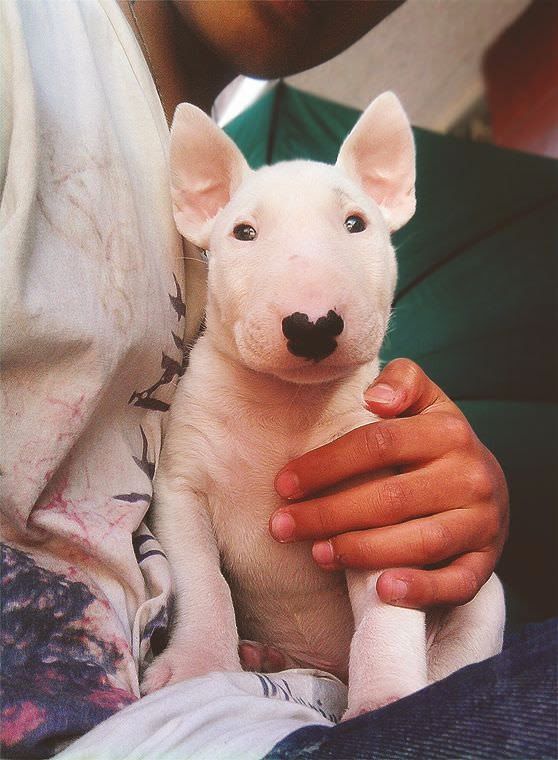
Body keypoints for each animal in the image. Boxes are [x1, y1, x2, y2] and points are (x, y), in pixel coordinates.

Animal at [143, 92, 508, 716]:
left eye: (355, 222)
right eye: (243, 232)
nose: (312, 324)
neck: (286, 409)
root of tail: (324, 667)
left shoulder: (378, 509)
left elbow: (386, 611)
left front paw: (385, 699)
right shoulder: (180, 486)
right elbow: (202, 581)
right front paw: (196, 665)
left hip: (485, 600)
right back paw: (261, 655)